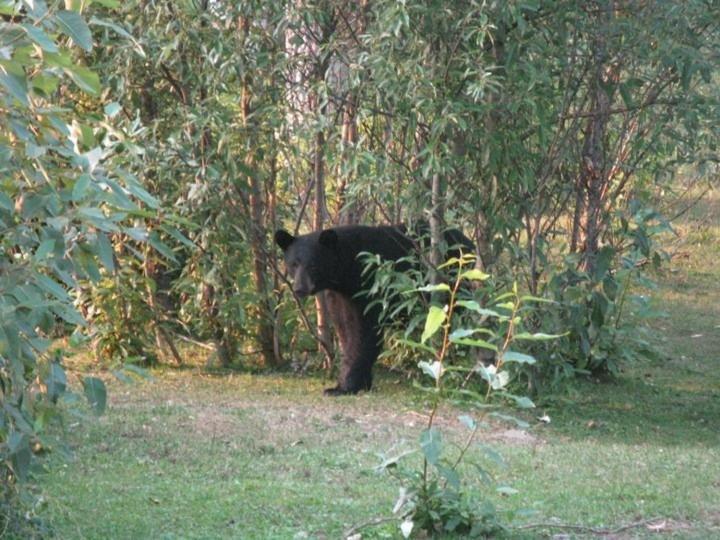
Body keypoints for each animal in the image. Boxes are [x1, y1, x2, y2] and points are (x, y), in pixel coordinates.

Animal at [274, 225, 472, 396]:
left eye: (313, 265)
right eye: (293, 264)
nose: (299, 288)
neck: (348, 270)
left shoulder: (372, 285)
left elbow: (364, 333)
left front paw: (346, 386)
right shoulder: (340, 296)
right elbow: (345, 330)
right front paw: (350, 384)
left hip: (455, 281)